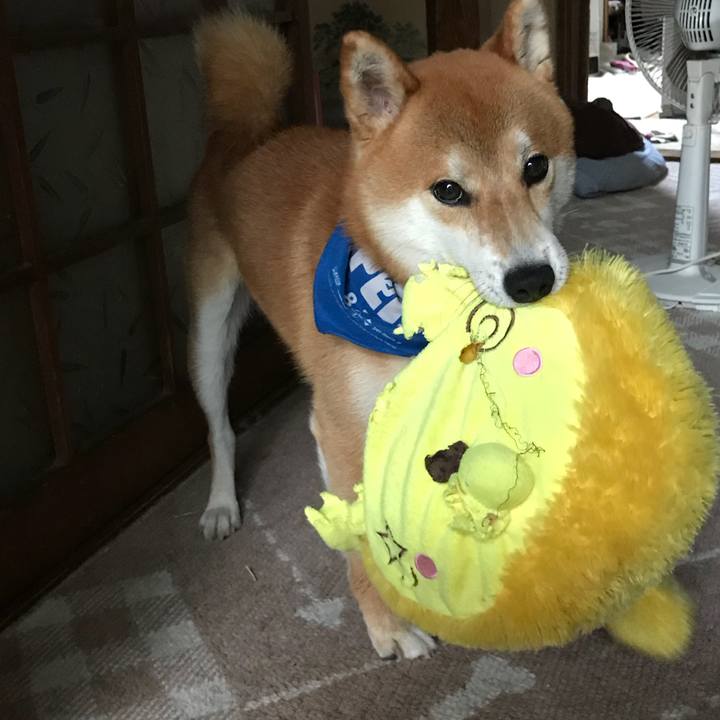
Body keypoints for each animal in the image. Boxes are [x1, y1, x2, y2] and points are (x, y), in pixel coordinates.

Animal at [188, 0, 575, 660]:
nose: (532, 280)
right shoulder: (343, 432)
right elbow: (363, 541)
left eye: (536, 166)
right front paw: (389, 624)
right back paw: (219, 504)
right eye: (449, 190)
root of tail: (247, 131)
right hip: (211, 332)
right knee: (219, 426)